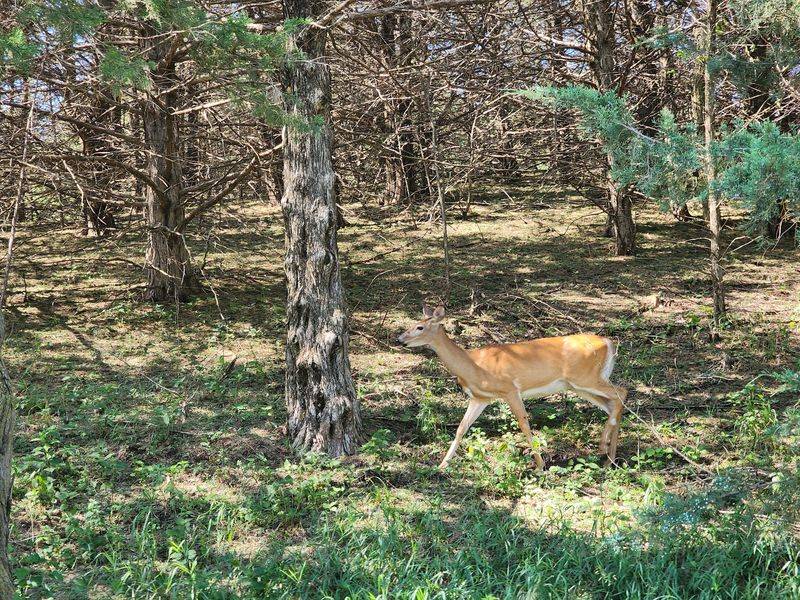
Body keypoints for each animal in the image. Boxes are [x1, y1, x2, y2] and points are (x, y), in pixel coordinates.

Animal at [398, 305, 627, 470]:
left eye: (420, 327)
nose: (399, 339)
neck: (474, 364)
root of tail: (609, 342)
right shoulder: (481, 397)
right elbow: (461, 428)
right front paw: (442, 465)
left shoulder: (510, 389)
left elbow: (524, 424)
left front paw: (540, 466)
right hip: (579, 386)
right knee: (613, 403)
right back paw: (609, 459)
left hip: (586, 378)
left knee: (621, 393)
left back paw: (603, 447)